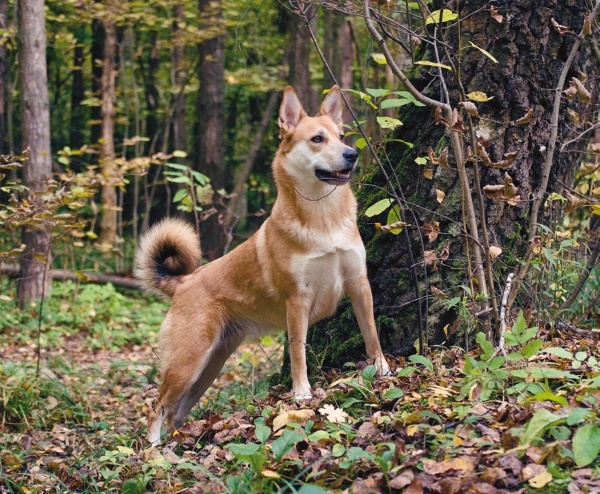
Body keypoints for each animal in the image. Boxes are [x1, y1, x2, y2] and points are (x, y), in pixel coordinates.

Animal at [135, 85, 390, 444]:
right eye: (317, 139)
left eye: (341, 136)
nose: (351, 155)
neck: (322, 219)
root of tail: (183, 283)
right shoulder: (297, 301)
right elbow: (298, 354)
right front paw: (301, 393)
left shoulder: (358, 284)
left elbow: (371, 333)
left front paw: (382, 369)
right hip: (188, 362)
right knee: (156, 406)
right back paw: (154, 447)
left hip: (208, 368)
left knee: (176, 412)